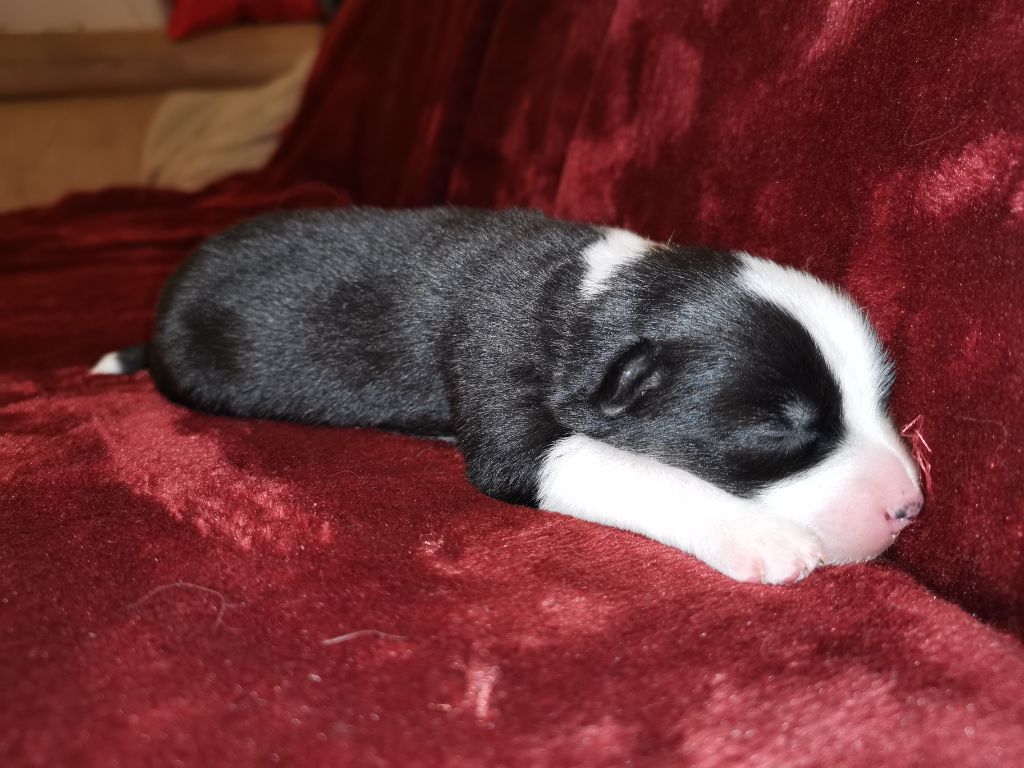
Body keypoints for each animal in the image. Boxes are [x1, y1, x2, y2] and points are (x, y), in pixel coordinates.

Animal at [93, 207, 923, 583]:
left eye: (881, 400)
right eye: (779, 426)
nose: (909, 507)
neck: (591, 294)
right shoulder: (502, 388)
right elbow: (640, 472)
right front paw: (764, 538)